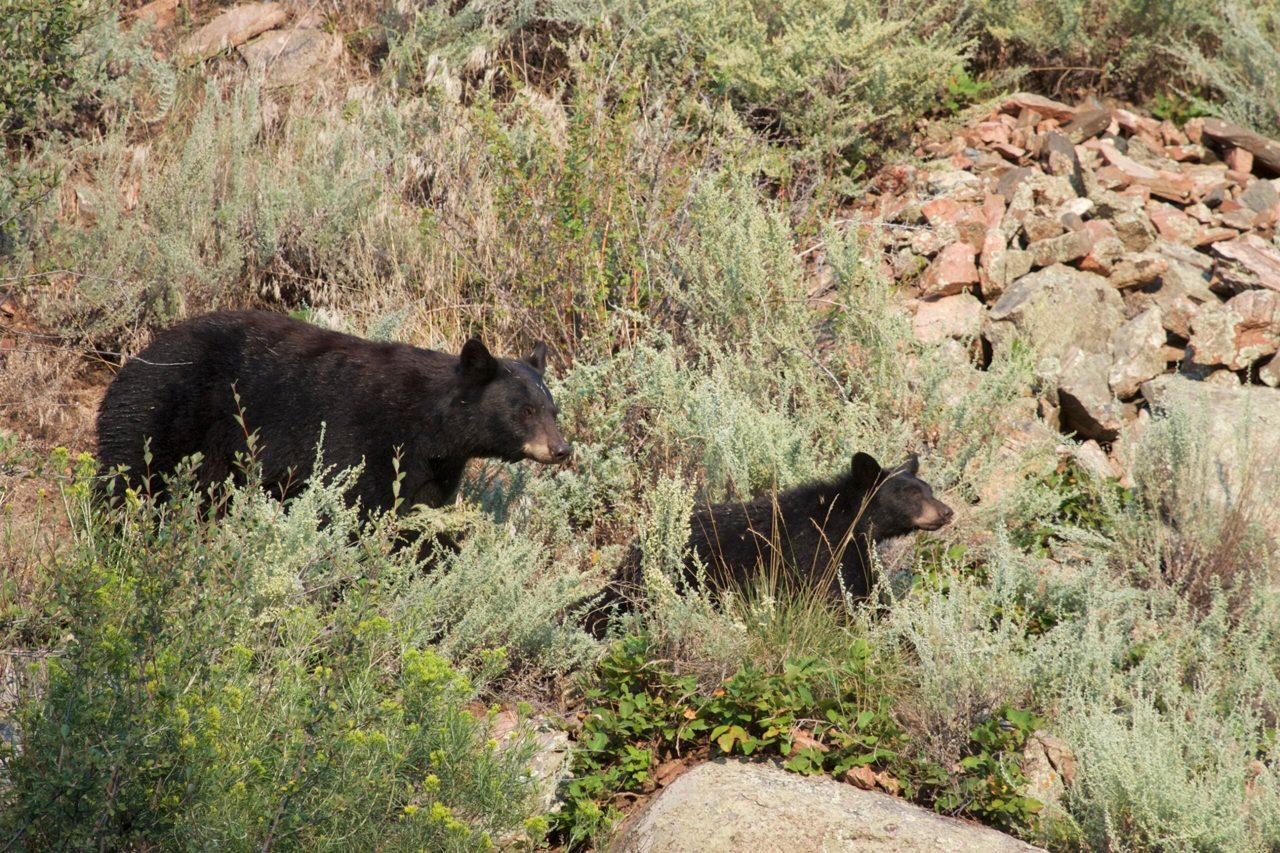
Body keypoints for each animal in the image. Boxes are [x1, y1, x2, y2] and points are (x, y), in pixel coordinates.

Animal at [95, 309, 572, 516]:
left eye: (553, 409)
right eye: (526, 410)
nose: (561, 449)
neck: (427, 422)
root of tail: (136, 358)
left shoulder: (434, 466)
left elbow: (418, 512)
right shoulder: (365, 440)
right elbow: (357, 506)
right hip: (158, 412)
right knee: (130, 474)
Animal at [583, 452, 953, 636]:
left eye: (929, 488)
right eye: (911, 493)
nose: (947, 511)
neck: (846, 521)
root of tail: (633, 553)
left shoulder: (853, 551)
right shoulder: (817, 550)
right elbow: (839, 597)